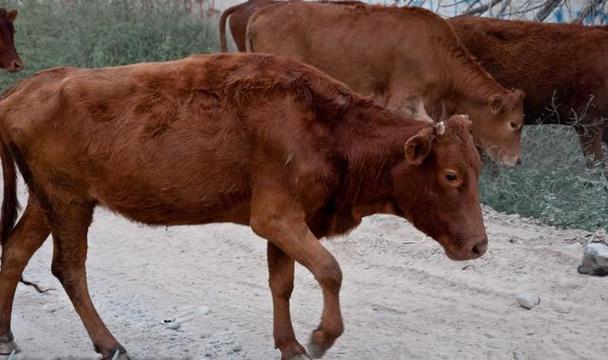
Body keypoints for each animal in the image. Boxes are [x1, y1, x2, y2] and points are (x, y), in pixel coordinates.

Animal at [0, 53, 486, 360]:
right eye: (451, 176)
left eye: (477, 168)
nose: (479, 246)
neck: (327, 126)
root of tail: (22, 91)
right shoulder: (276, 218)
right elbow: (330, 270)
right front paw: (320, 338)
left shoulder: (290, 223)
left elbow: (283, 283)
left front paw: (290, 346)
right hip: (68, 202)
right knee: (68, 267)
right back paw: (110, 344)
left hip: (48, 203)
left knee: (15, 252)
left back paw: (6, 337)